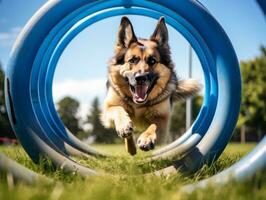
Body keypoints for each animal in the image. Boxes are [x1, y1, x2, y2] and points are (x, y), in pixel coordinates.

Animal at [101, 16, 201, 155]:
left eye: (152, 61)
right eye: (132, 60)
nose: (140, 78)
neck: (138, 105)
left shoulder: (162, 120)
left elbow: (154, 125)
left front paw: (147, 138)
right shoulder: (108, 110)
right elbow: (118, 109)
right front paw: (124, 126)